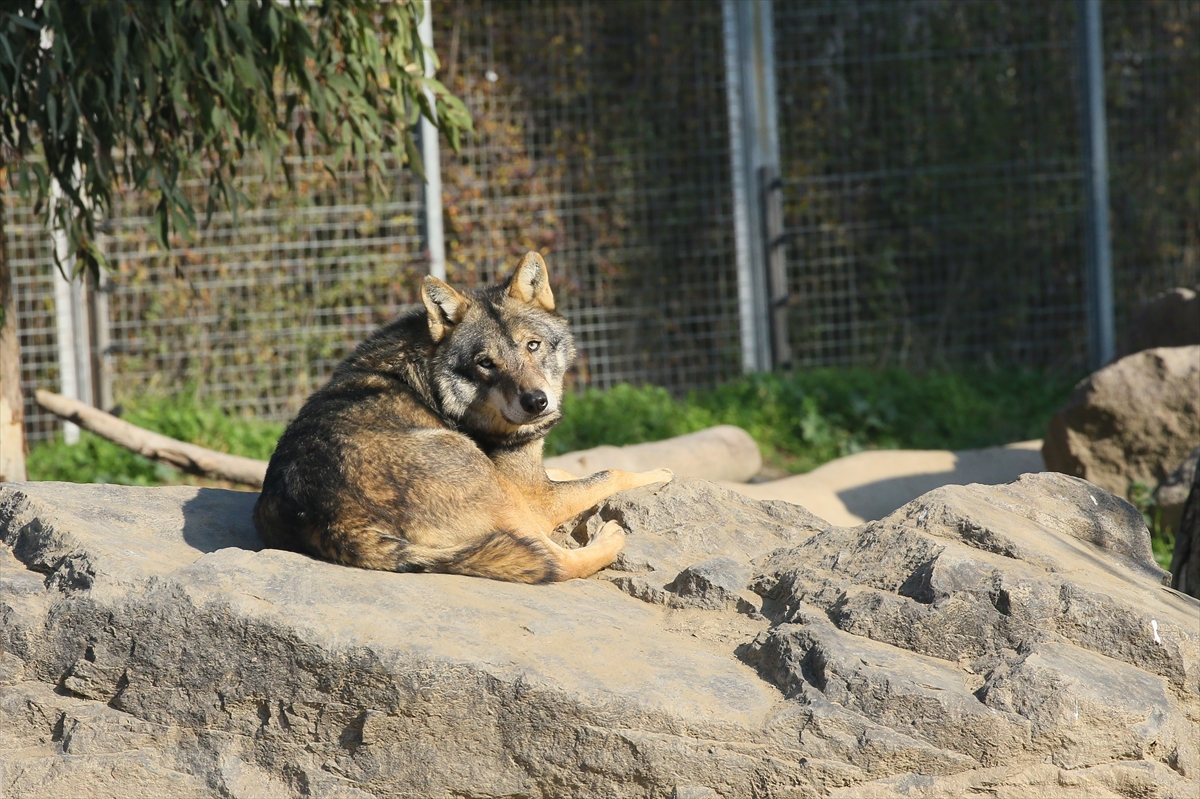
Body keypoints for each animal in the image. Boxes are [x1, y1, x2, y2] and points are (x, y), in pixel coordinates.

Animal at [252, 251, 672, 583]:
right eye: (486, 364)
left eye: (533, 345)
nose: (536, 402)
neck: (433, 383)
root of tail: (328, 518)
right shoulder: (536, 498)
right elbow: (610, 472)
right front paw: (660, 474)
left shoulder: (528, 478)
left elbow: (567, 470)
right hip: (496, 490)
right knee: (554, 562)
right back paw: (611, 537)